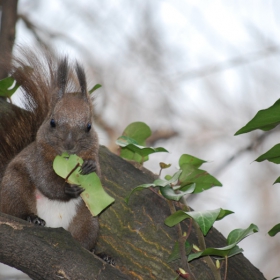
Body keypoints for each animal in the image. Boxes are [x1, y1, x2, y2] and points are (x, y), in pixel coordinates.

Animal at [0, 48, 100, 252]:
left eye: (89, 126)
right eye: (52, 122)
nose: (69, 145)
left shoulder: (95, 151)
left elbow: (99, 173)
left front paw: (90, 166)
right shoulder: (38, 158)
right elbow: (45, 180)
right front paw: (67, 189)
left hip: (89, 219)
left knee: (85, 240)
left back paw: (99, 253)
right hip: (14, 187)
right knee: (15, 207)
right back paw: (31, 217)